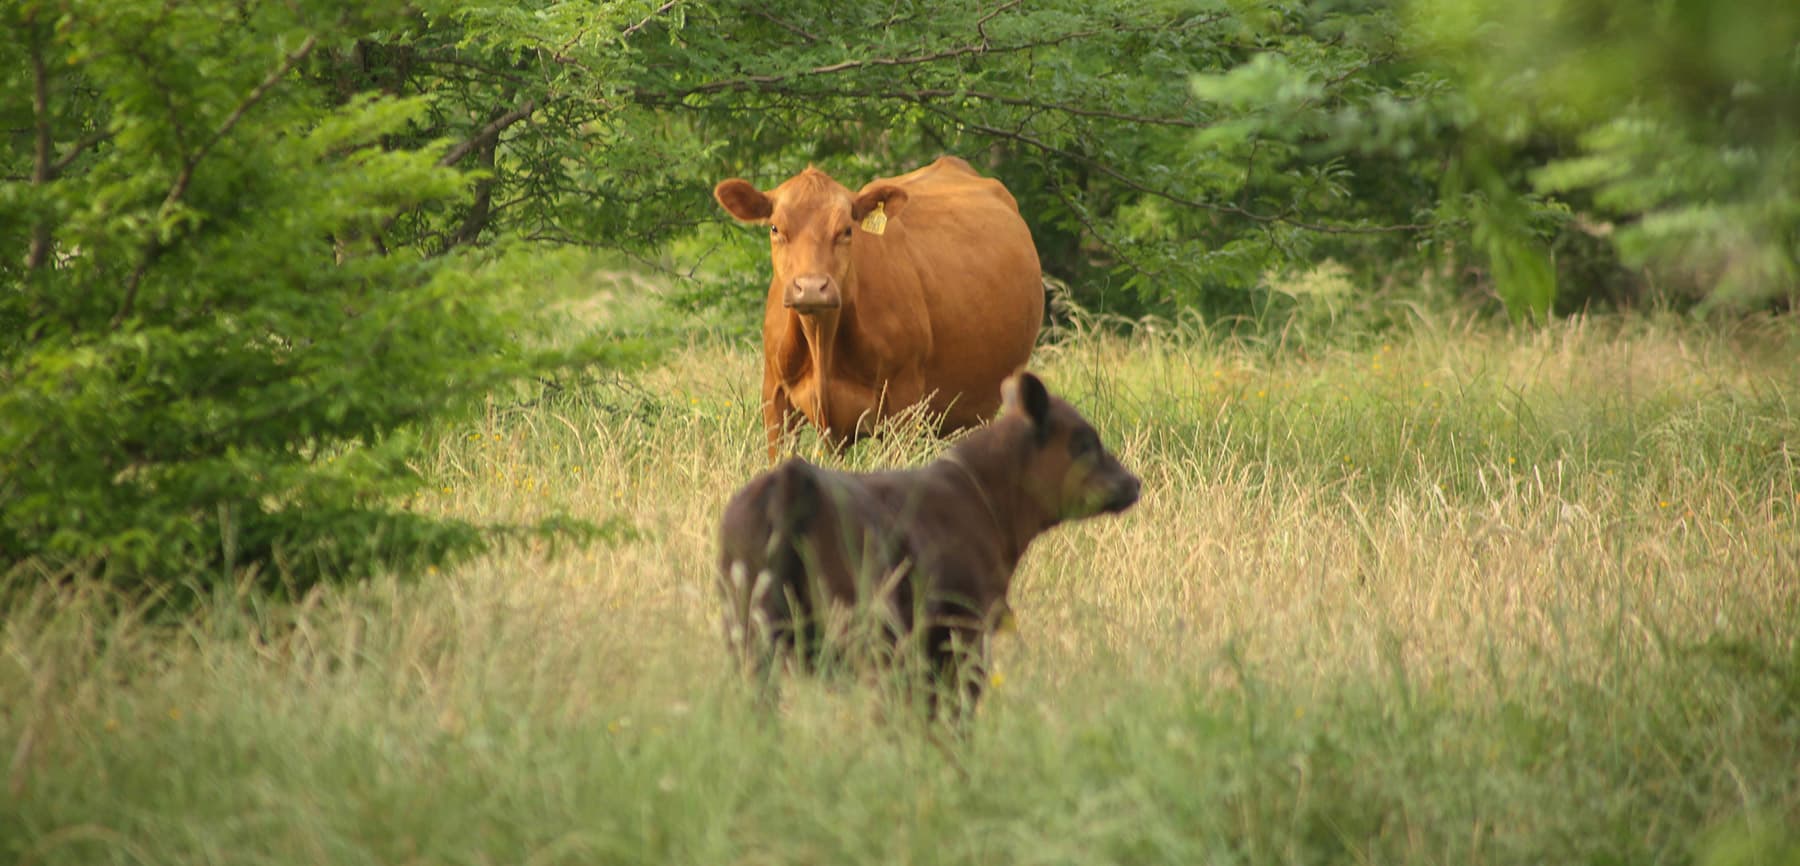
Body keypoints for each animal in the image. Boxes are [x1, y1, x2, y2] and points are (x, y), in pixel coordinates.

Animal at [713, 156, 1044, 460]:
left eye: (847, 230)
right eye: (775, 228)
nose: (811, 287)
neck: (822, 340)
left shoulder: (904, 402)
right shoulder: (775, 398)